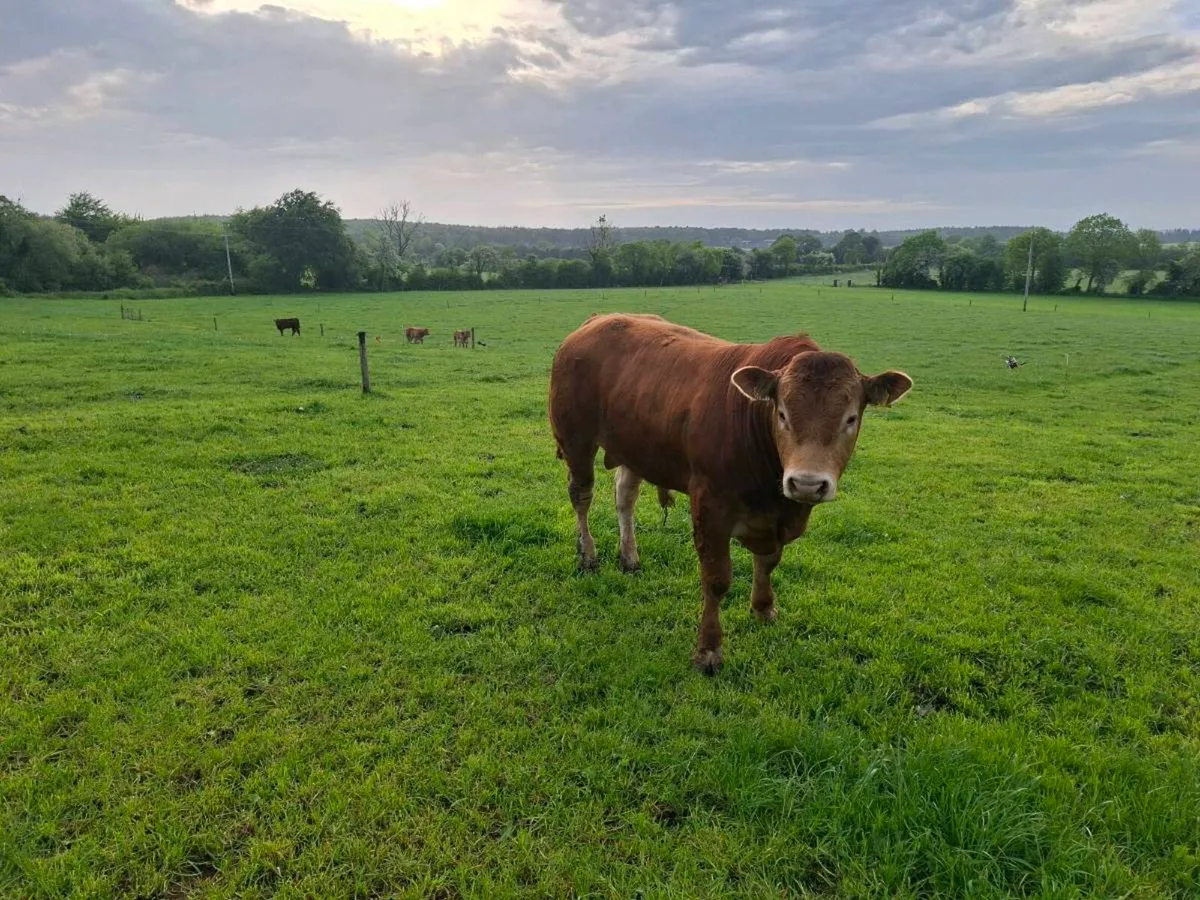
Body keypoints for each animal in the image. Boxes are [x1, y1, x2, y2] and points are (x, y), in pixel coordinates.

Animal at [548, 313, 912, 674]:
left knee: (625, 497)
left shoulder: (775, 518)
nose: (807, 483)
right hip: (576, 439)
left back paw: (629, 558)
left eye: (850, 419)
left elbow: (768, 562)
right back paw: (589, 555)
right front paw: (709, 649)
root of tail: (596, 321)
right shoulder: (710, 509)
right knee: (582, 496)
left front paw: (764, 608)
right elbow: (717, 579)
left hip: (636, 447)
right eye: (782, 414)